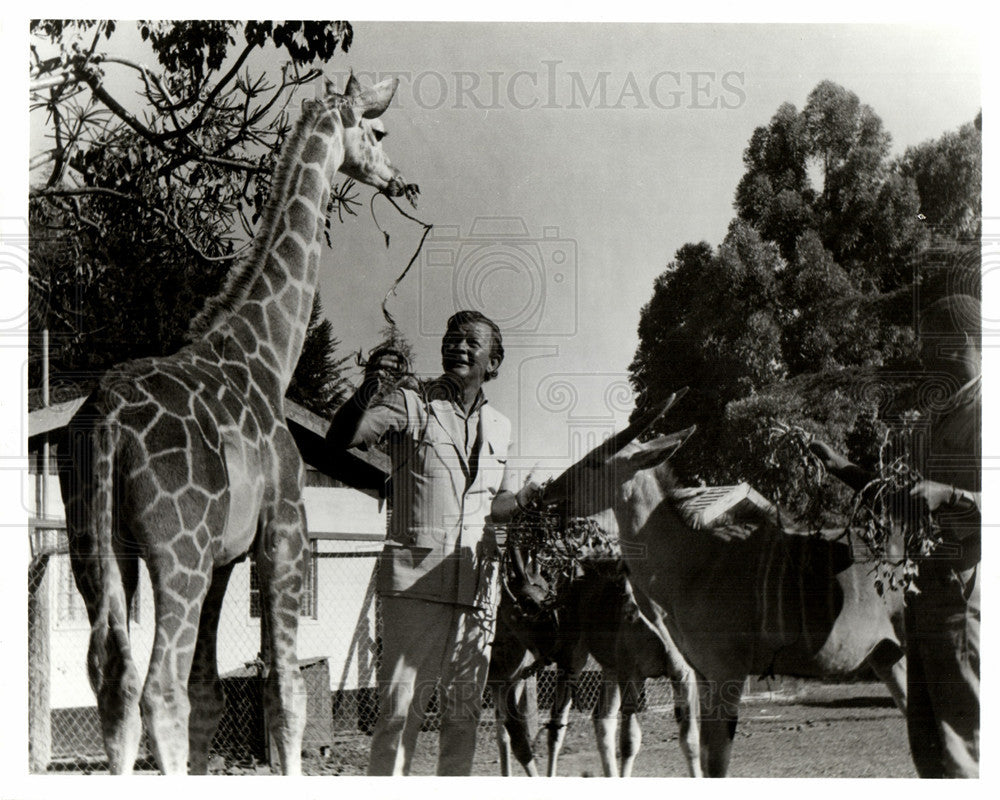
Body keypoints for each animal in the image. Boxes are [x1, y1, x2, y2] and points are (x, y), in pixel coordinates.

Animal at [59, 75, 418, 776]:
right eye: (378, 130)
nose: (400, 181)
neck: (268, 354)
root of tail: (107, 421)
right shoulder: (283, 532)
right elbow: (285, 693)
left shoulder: (225, 558)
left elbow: (210, 695)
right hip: (178, 552)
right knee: (158, 689)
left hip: (99, 546)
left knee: (114, 681)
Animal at [544, 390, 912, 780]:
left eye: (594, 462)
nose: (550, 492)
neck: (696, 560)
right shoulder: (701, 677)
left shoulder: (725, 674)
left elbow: (715, 764)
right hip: (888, 658)